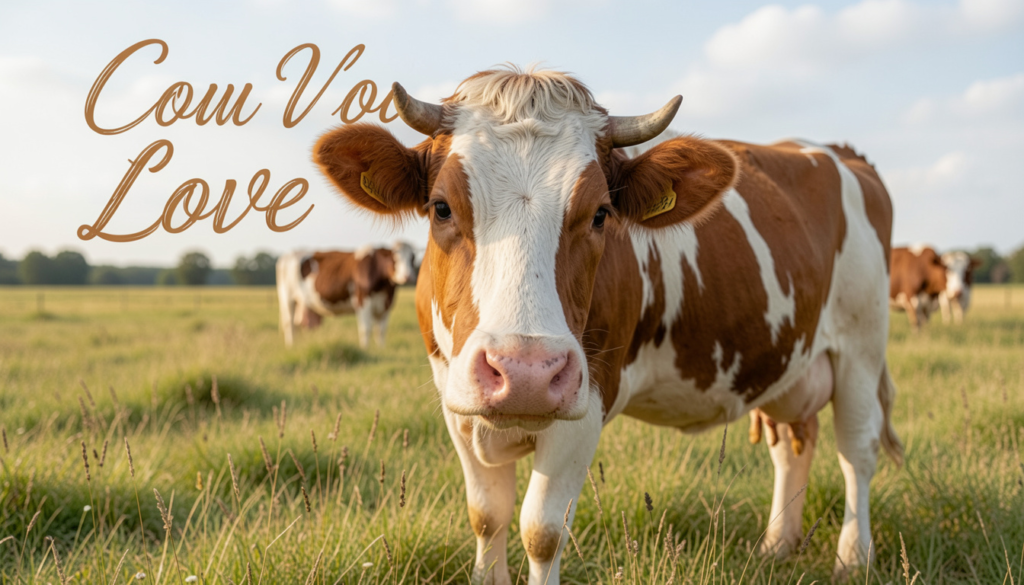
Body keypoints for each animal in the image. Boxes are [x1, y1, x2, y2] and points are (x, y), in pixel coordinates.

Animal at [275, 242, 416, 348]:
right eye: (395, 258)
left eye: (412, 258)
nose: (408, 276)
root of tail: (288, 255)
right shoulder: (362, 302)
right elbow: (366, 329)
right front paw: (365, 349)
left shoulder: (386, 306)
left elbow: (381, 331)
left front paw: (381, 349)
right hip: (287, 298)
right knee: (289, 323)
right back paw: (291, 346)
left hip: (301, 302)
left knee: (297, 324)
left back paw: (298, 345)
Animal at [313, 67, 902, 583]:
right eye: (440, 207)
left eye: (600, 214)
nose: (525, 373)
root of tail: (838, 152)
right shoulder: (455, 399)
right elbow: (487, 517)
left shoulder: (588, 398)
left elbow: (541, 531)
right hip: (791, 363)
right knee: (794, 441)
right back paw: (778, 545)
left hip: (862, 345)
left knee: (857, 450)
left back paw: (854, 558)